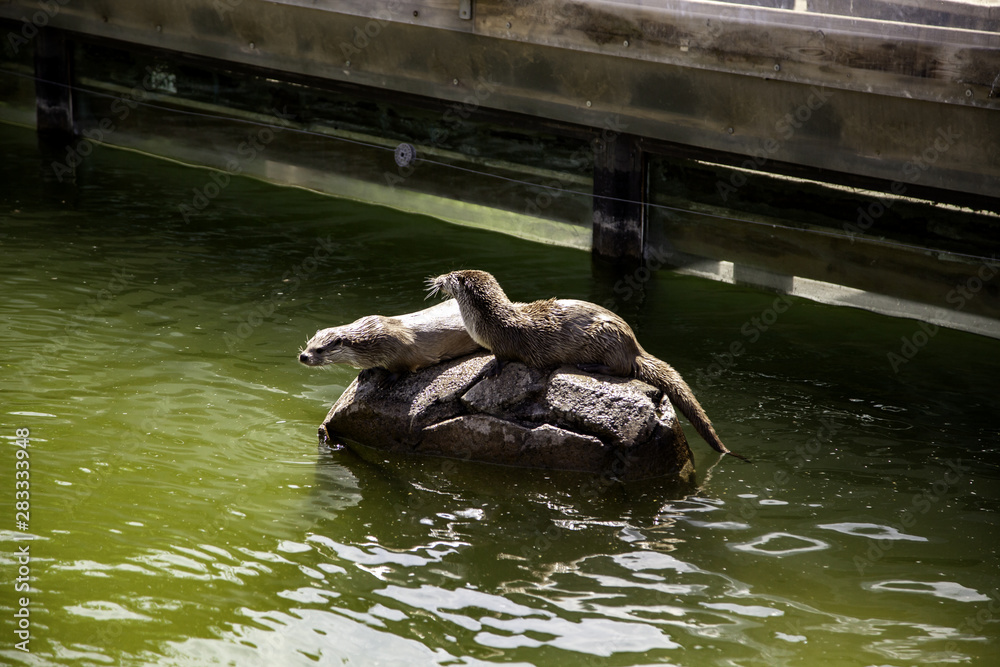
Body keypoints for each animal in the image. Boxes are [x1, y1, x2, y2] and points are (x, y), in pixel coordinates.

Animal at [298, 300, 482, 381]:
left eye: (319, 349)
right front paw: (366, 371)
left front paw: (387, 380)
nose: (303, 356)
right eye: (308, 345)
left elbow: (402, 369)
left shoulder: (400, 351)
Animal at [427, 269, 749, 462]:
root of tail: (633, 343)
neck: (486, 321)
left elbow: (502, 358)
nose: (438, 277)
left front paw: (489, 369)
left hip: (607, 338)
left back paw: (591, 367)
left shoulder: (504, 343)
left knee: (623, 369)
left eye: (453, 276)